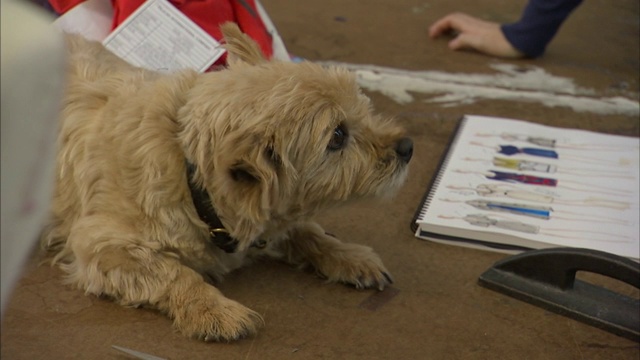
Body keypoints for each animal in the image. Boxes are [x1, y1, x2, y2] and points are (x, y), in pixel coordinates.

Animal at [43, 23, 416, 342]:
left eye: (362, 105)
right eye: (337, 136)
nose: (407, 147)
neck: (189, 176)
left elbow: (308, 230)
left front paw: (348, 255)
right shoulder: (100, 245)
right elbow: (174, 272)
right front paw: (211, 308)